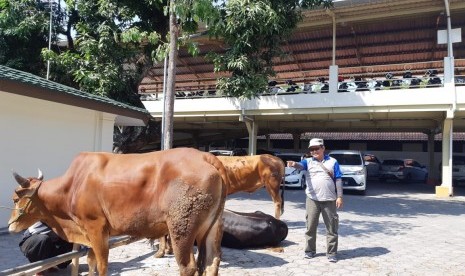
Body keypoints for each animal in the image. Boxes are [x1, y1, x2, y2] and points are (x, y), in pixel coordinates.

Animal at [5, 148, 227, 276]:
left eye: (15, 198)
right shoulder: (92, 234)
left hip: (181, 228)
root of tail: (205, 156)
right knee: (211, 263)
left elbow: (102, 265)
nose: (9, 226)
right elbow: (91, 261)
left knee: (188, 267)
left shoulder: (95, 228)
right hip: (211, 228)